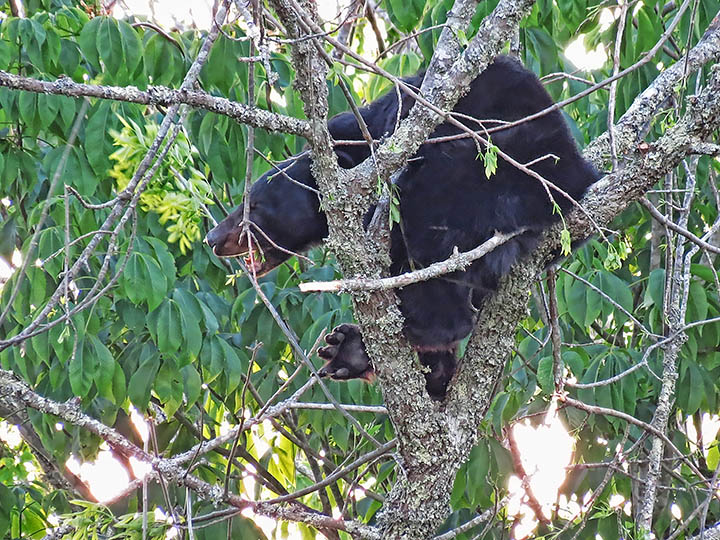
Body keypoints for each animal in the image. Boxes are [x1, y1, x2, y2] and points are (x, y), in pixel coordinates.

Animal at [205, 57, 600, 398]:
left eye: (253, 206)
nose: (213, 238)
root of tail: (565, 173)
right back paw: (368, 355)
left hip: (466, 175)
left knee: (428, 250)